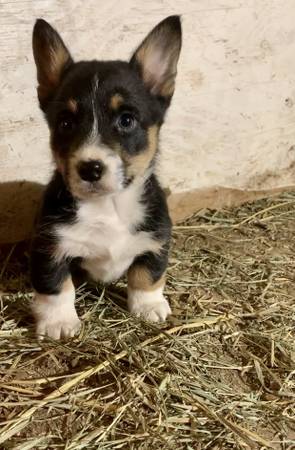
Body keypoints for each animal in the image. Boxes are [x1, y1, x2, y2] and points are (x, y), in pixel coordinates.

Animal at [30, 14, 183, 338]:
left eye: (126, 120)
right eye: (65, 123)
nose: (90, 168)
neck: (108, 206)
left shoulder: (157, 238)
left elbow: (148, 275)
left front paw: (149, 306)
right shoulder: (49, 247)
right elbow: (56, 286)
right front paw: (58, 322)